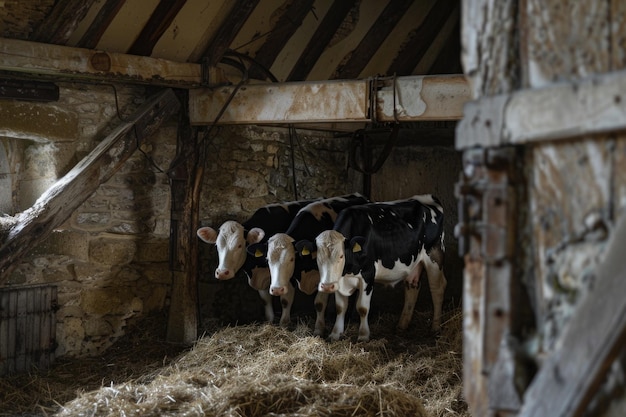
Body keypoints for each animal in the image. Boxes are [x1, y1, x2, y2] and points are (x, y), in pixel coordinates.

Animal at [246, 193, 368, 334]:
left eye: (291, 259)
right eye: (268, 260)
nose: (276, 289)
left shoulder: (324, 278)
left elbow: (319, 303)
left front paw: (319, 328)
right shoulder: (290, 277)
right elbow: (285, 300)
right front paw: (284, 324)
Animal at [306, 195, 444, 342]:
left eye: (341, 256)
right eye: (317, 257)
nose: (327, 287)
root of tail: (427, 198)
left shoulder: (368, 275)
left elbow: (362, 308)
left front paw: (363, 336)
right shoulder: (339, 279)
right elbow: (340, 307)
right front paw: (335, 333)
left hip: (435, 256)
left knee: (437, 288)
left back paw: (436, 327)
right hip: (413, 262)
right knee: (412, 287)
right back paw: (402, 325)